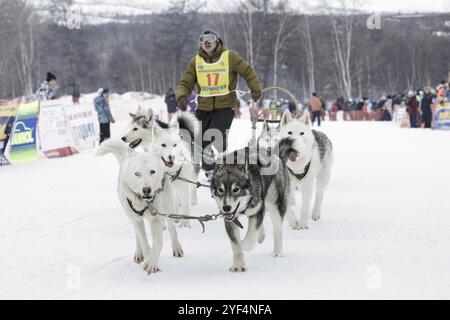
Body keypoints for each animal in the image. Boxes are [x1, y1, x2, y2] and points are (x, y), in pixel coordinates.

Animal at [96, 139, 184, 274]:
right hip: (132, 216)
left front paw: (152, 263)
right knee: (138, 234)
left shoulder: (156, 219)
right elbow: (144, 242)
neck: (144, 202)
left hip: (167, 207)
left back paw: (176, 247)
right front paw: (148, 258)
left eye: (152, 171)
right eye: (137, 174)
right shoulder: (136, 219)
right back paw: (139, 253)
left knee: (171, 228)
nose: (146, 190)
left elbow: (158, 243)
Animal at [210, 139, 298, 272]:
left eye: (236, 189)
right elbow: (235, 245)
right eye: (220, 190)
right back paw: (261, 236)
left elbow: (249, 238)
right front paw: (238, 265)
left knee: (277, 229)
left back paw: (278, 251)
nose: (226, 208)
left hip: (275, 204)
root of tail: (275, 154)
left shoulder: (258, 210)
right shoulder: (231, 220)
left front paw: (244, 244)